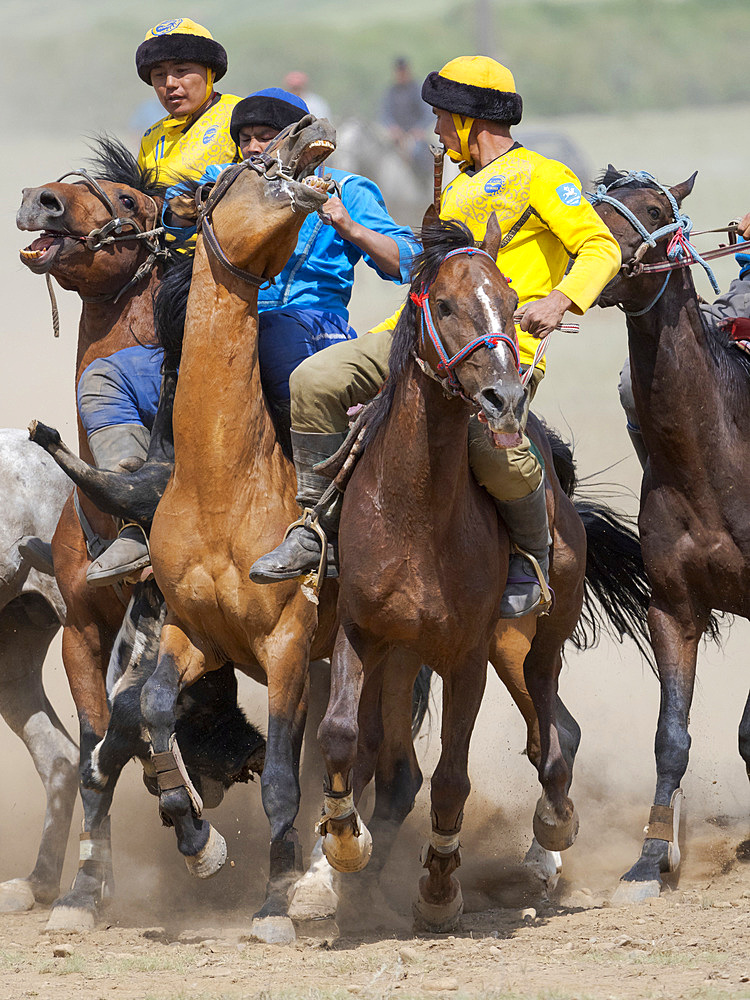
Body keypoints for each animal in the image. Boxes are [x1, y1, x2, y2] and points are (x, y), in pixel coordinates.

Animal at [318, 215, 652, 932]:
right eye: (444, 305)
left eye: (510, 298)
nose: (504, 396)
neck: (414, 511)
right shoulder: (361, 633)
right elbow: (341, 738)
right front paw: (344, 844)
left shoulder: (466, 655)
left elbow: (452, 777)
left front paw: (439, 889)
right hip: (417, 652)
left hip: (537, 633)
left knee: (551, 733)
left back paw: (552, 826)